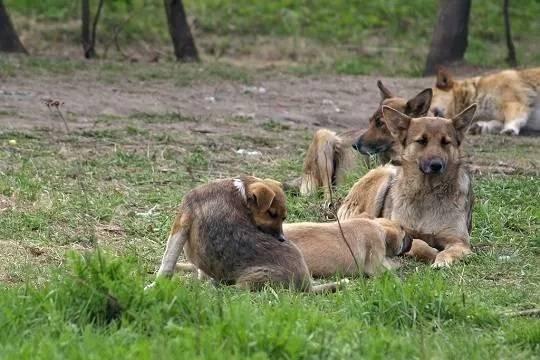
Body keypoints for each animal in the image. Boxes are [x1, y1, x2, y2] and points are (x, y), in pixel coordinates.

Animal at [144, 176, 342, 292]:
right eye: (272, 214)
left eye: (283, 217)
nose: (281, 239)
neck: (240, 191)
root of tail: (307, 285)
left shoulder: (181, 222)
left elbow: (167, 262)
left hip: (249, 281)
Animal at [338, 104, 476, 268]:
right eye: (422, 141)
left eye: (445, 142)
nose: (436, 165)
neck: (427, 191)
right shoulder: (402, 232)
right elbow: (418, 243)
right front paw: (430, 252)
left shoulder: (459, 242)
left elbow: (449, 251)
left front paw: (441, 261)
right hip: (385, 174)